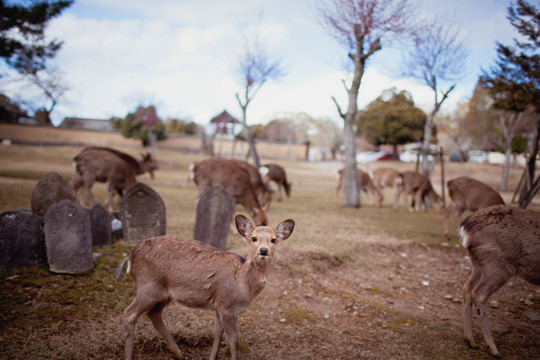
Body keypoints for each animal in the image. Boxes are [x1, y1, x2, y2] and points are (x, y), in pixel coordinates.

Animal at [122, 215, 296, 358]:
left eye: (273, 239)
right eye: (254, 238)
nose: (264, 250)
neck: (243, 285)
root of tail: (131, 257)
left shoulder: (219, 305)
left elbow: (218, 333)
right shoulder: (228, 306)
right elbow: (234, 341)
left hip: (164, 293)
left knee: (154, 313)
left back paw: (179, 354)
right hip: (147, 285)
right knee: (129, 313)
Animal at [460, 204, 540, 358]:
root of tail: (466, 226)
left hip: (478, 263)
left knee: (467, 287)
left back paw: (470, 341)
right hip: (498, 265)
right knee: (479, 294)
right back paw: (493, 349)